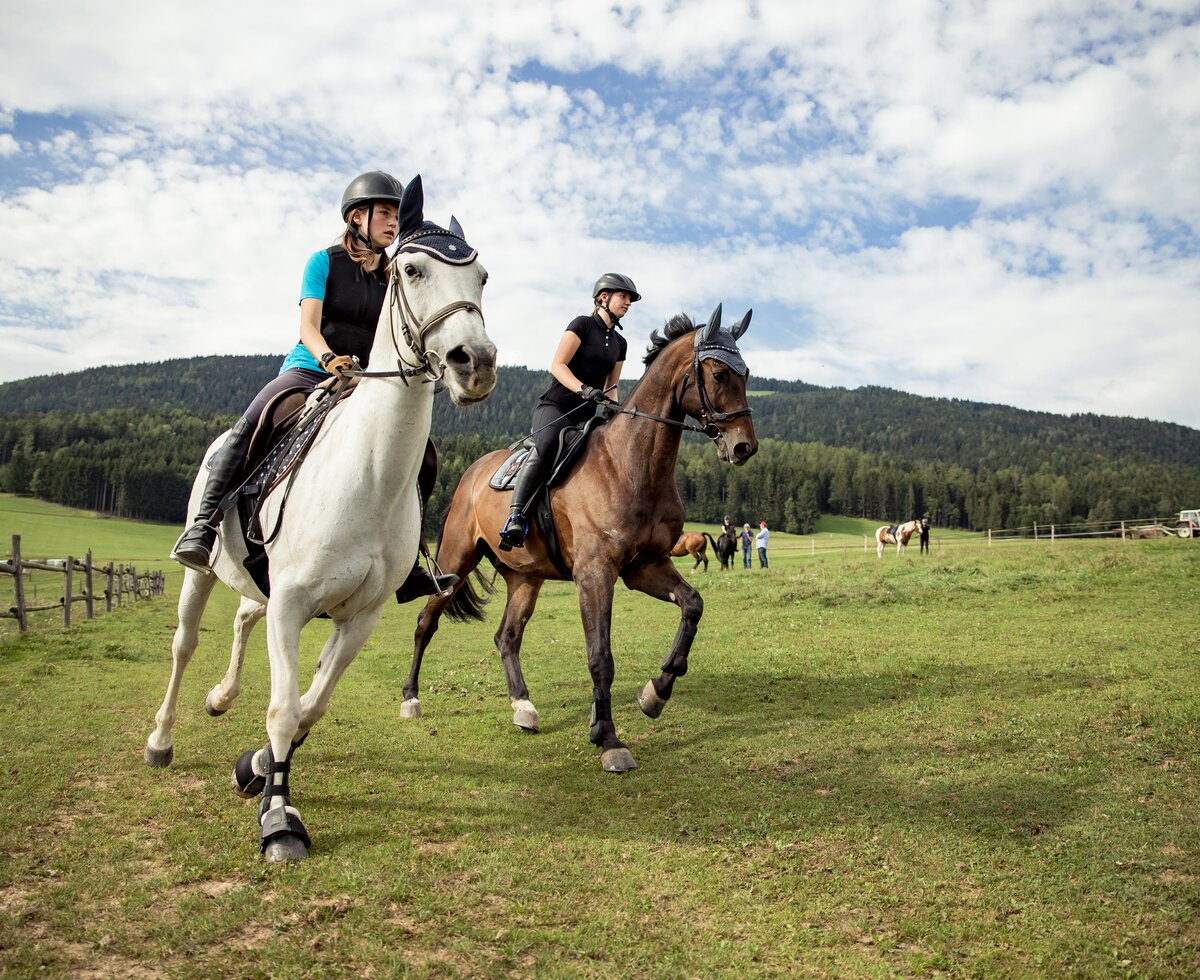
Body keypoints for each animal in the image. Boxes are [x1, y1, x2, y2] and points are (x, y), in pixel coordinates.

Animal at [141, 176, 496, 854]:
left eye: (482, 277)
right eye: (411, 269)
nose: (477, 362)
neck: (369, 477)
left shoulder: (359, 617)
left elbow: (308, 708)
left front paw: (255, 768)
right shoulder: (291, 603)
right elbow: (283, 708)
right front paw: (280, 819)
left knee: (242, 619)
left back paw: (221, 698)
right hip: (201, 571)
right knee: (184, 643)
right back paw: (161, 739)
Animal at [403, 305, 758, 772]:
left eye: (747, 374)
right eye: (718, 374)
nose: (744, 448)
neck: (633, 463)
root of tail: (474, 471)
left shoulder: (645, 567)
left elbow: (693, 605)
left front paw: (655, 692)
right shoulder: (596, 573)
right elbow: (600, 656)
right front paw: (608, 738)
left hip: (526, 578)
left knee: (507, 637)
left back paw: (523, 706)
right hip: (456, 559)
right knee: (426, 622)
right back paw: (410, 699)